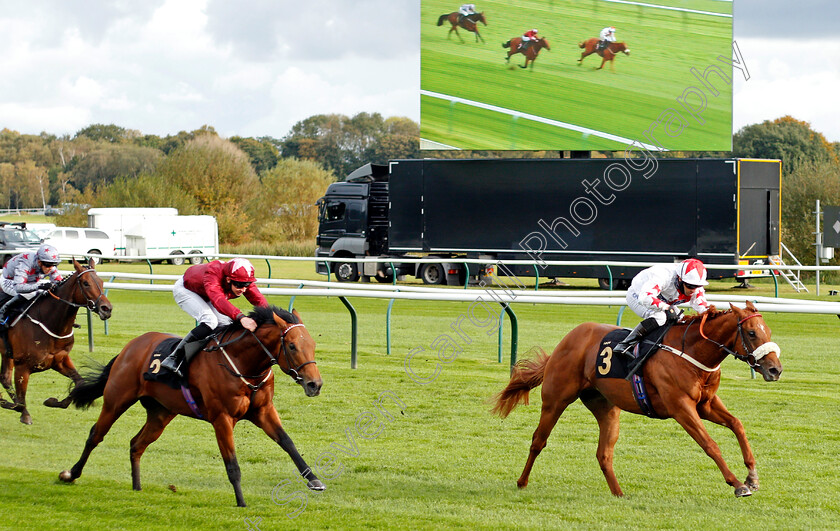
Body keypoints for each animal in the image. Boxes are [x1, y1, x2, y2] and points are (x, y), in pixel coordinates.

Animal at [0, 260, 111, 426]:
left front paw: (52, 401)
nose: (107, 309)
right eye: (86, 283)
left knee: (5, 378)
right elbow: (19, 403)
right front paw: (22, 414)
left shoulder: (59, 360)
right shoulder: (22, 366)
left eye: (101, 282)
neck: (49, 321)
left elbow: (79, 383)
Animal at [59, 306, 326, 510]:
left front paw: (314, 480)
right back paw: (71, 474)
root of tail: (130, 347)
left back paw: (137, 486)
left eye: (312, 344)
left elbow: (287, 442)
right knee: (96, 434)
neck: (242, 362)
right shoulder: (222, 418)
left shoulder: (263, 411)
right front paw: (241, 502)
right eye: (291, 346)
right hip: (116, 400)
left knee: (137, 443)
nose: (315, 384)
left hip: (161, 413)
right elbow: (232, 463)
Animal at [492, 304, 780, 498]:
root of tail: (567, 339)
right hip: (556, 400)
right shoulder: (681, 407)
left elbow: (737, 424)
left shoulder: (705, 405)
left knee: (604, 453)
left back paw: (619, 493)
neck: (693, 352)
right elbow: (710, 444)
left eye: (768, 330)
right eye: (752, 333)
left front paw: (752, 476)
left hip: (606, 408)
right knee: (538, 440)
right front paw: (738, 484)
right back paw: (521, 482)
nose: (775, 369)